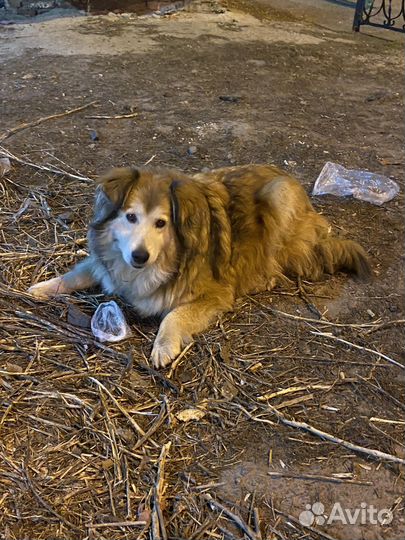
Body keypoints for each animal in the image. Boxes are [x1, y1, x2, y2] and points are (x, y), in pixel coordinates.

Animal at [27, 163, 370, 368]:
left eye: (161, 223)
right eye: (130, 217)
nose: (139, 256)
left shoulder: (214, 294)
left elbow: (175, 315)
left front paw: (164, 345)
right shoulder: (108, 263)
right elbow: (77, 273)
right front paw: (43, 287)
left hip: (279, 199)